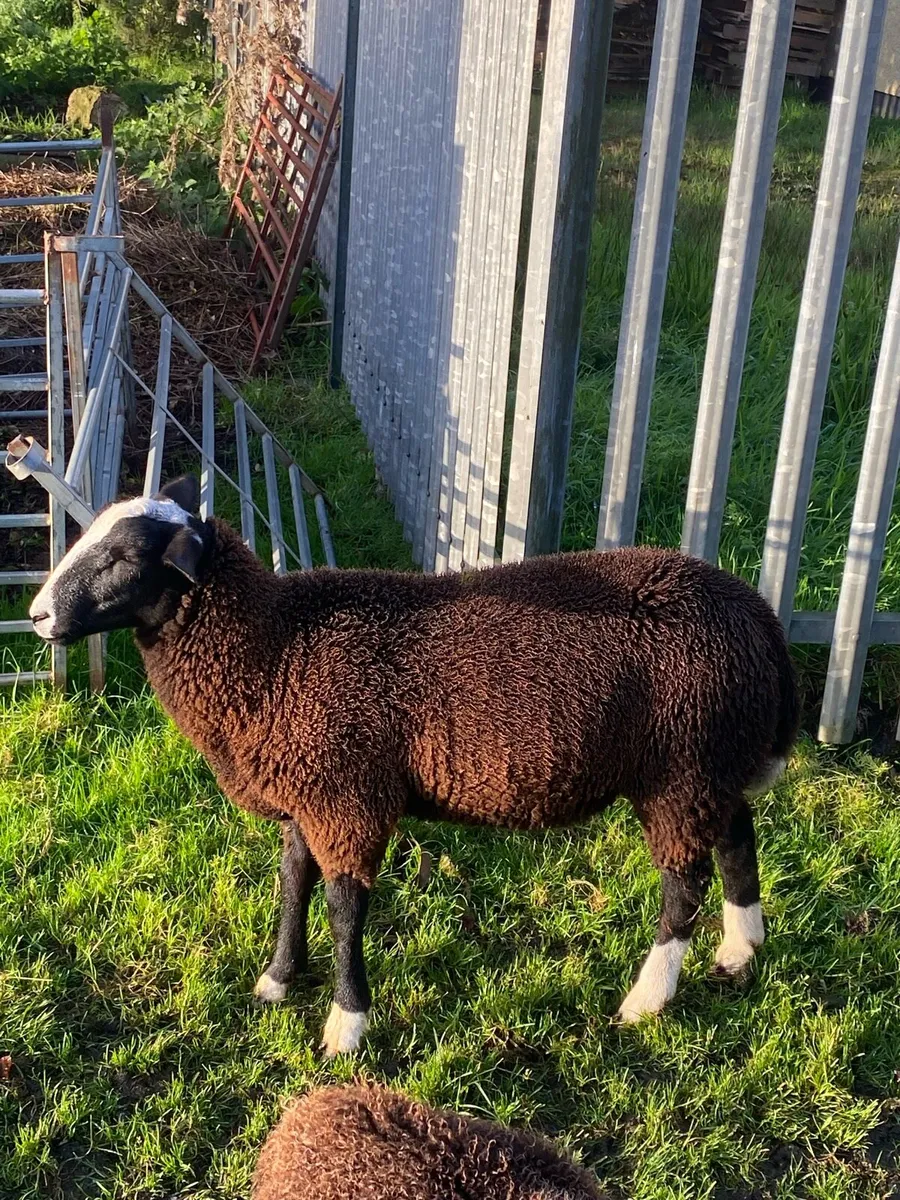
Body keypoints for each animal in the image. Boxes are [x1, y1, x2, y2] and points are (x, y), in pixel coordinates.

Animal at [29, 474, 798, 1054]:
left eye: (124, 558)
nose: (36, 616)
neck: (272, 652)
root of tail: (760, 617)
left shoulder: (347, 794)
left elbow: (343, 909)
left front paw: (346, 1026)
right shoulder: (309, 787)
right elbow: (292, 882)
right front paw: (278, 980)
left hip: (679, 767)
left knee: (684, 882)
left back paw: (648, 998)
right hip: (711, 760)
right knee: (736, 837)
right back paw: (742, 949)